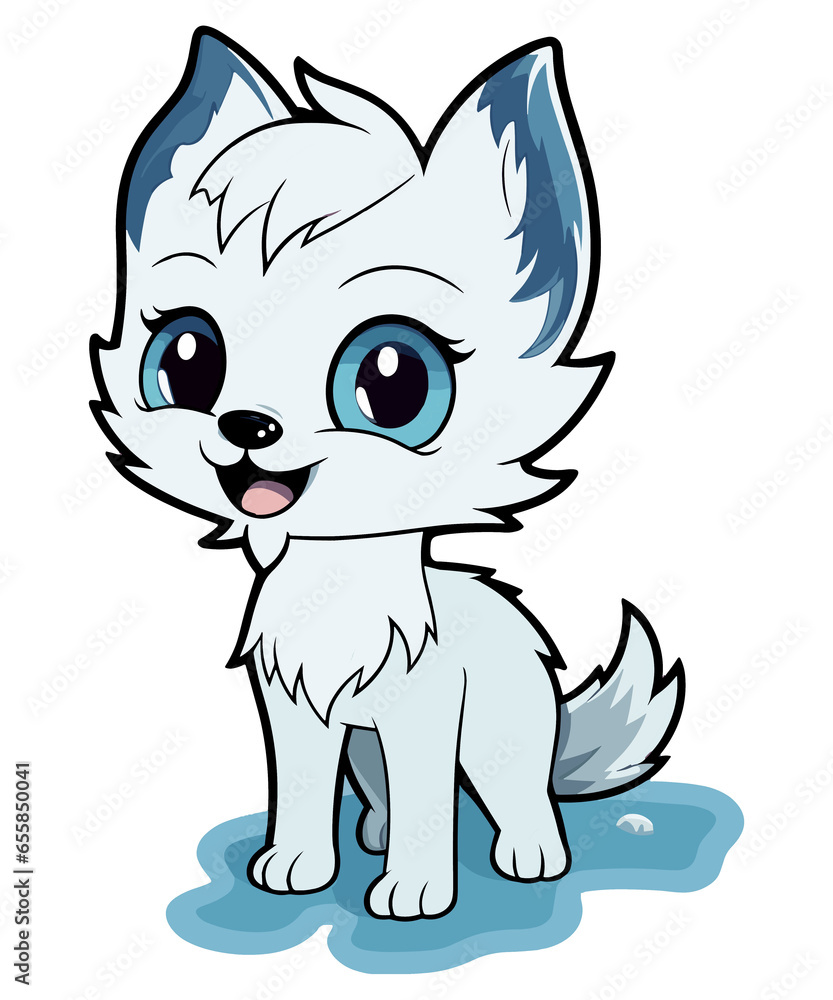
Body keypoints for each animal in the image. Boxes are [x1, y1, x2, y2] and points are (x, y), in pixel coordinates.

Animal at [92, 28, 684, 919]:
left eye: (393, 379)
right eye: (186, 360)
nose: (246, 426)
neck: (334, 590)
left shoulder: (423, 715)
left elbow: (426, 796)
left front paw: (416, 890)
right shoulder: (294, 710)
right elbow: (304, 789)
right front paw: (297, 865)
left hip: (501, 729)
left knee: (514, 790)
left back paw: (529, 855)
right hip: (370, 746)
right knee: (378, 790)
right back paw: (371, 836)